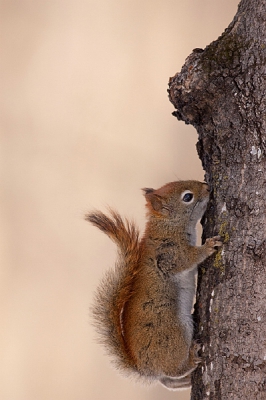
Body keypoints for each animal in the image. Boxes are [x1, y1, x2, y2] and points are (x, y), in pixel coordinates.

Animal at [86, 182, 221, 390]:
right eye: (187, 197)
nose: (207, 187)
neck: (167, 226)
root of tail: (143, 367)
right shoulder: (168, 255)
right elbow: (188, 259)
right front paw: (208, 246)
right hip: (173, 333)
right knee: (173, 370)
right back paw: (191, 359)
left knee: (167, 381)